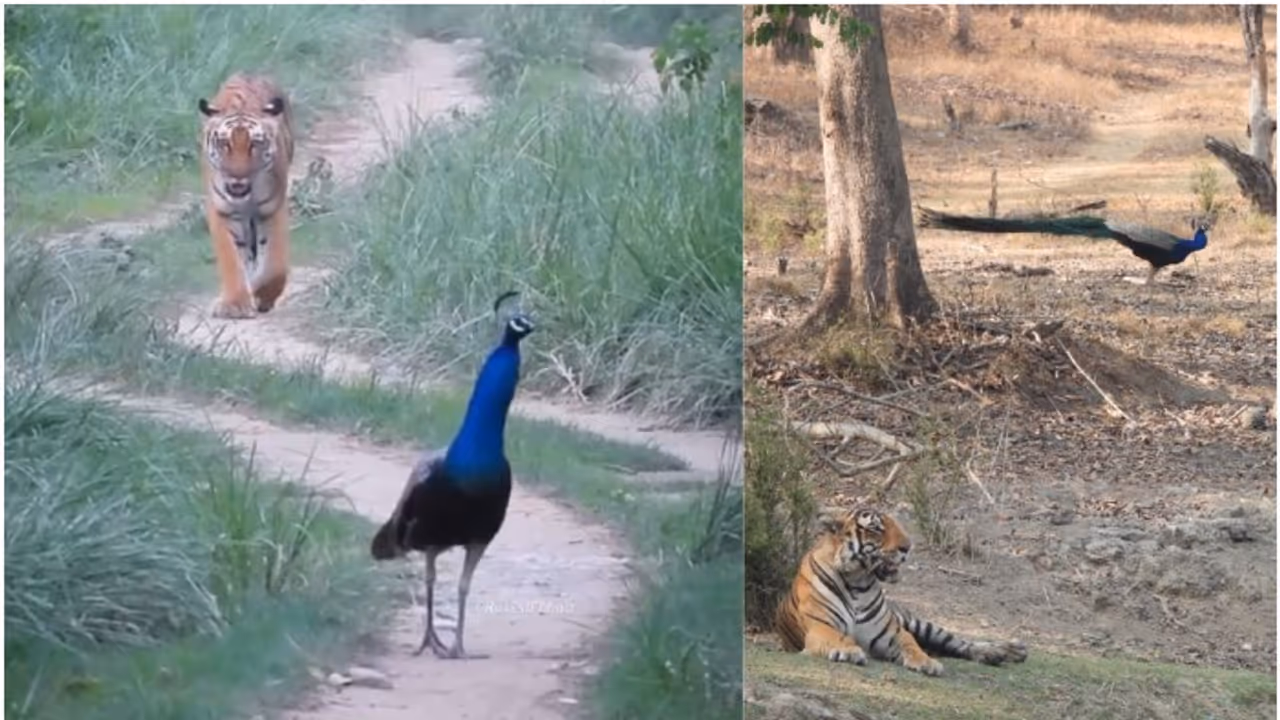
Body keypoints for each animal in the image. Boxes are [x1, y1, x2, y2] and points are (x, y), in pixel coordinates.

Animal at [197, 74, 295, 319]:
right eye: (225, 144)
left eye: (254, 144)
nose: (238, 177)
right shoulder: (221, 210)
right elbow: (230, 259)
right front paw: (235, 304)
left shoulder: (272, 209)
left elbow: (275, 265)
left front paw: (263, 293)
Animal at [774, 506, 1028, 677]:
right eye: (876, 528)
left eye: (896, 524)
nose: (908, 547)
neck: (859, 583)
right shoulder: (820, 626)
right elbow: (838, 636)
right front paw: (849, 651)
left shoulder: (893, 632)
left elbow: (911, 644)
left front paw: (926, 663)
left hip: (917, 623)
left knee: (958, 642)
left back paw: (1005, 651)